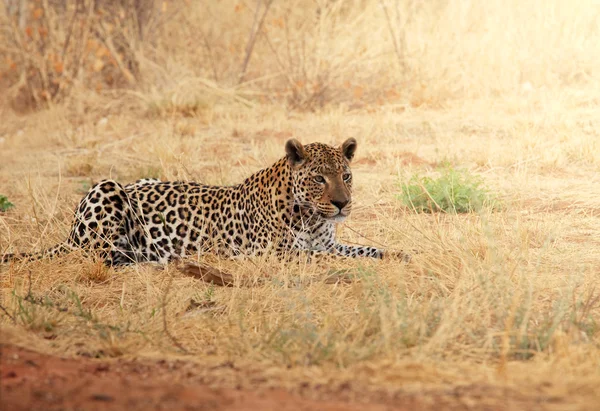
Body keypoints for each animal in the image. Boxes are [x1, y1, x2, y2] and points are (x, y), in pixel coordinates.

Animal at [2, 139, 408, 268]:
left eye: (346, 176)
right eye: (319, 178)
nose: (342, 204)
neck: (310, 218)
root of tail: (69, 234)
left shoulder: (330, 241)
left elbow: (362, 249)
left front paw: (399, 254)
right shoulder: (275, 254)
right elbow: (320, 258)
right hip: (107, 188)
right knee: (103, 256)